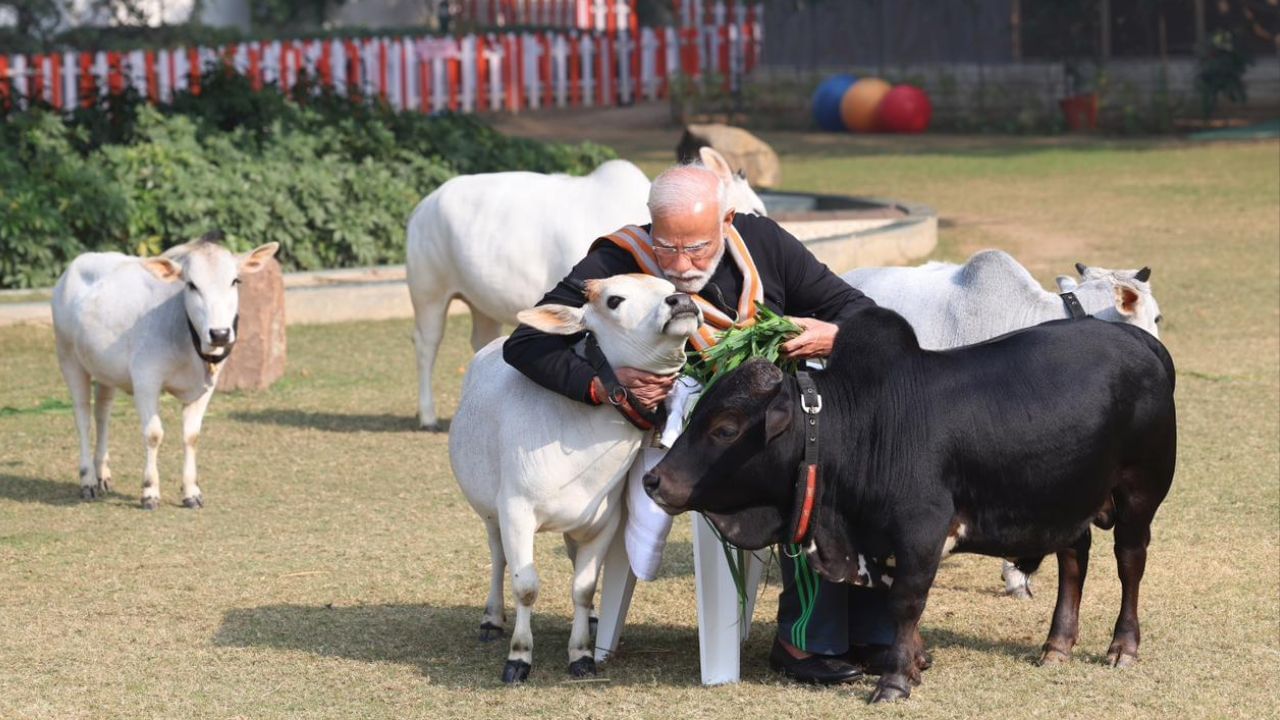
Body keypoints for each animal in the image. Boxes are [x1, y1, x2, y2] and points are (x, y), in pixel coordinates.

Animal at [53, 233, 280, 507]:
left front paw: (192, 491)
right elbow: (153, 434)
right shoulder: (146, 379)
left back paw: (102, 474)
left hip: (105, 369)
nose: (220, 333)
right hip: (68, 357)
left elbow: (191, 436)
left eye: (235, 281)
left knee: (102, 413)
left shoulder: (205, 388)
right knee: (83, 418)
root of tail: (77, 263)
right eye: (191, 285)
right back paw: (87, 480)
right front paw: (149, 491)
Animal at [407, 146, 757, 425]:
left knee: (480, 339)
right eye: (753, 208)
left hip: (481, 304)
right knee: (426, 344)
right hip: (429, 292)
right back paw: (427, 415)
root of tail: (425, 205)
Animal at [453, 271, 701, 681]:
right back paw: (491, 619)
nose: (681, 302)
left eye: (669, 288)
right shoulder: (516, 512)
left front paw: (581, 653)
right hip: (490, 512)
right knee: (498, 556)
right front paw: (519, 658)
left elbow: (583, 588)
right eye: (615, 300)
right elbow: (526, 586)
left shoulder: (604, 521)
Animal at [645, 307, 1172, 702]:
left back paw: (1123, 646)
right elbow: (894, 600)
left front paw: (895, 680)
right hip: (1067, 498)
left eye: (726, 428)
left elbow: (905, 601)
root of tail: (1141, 341)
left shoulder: (922, 530)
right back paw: (1057, 644)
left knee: (1129, 563)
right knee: (1074, 557)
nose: (654, 480)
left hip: (1139, 494)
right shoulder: (878, 542)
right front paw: (915, 662)